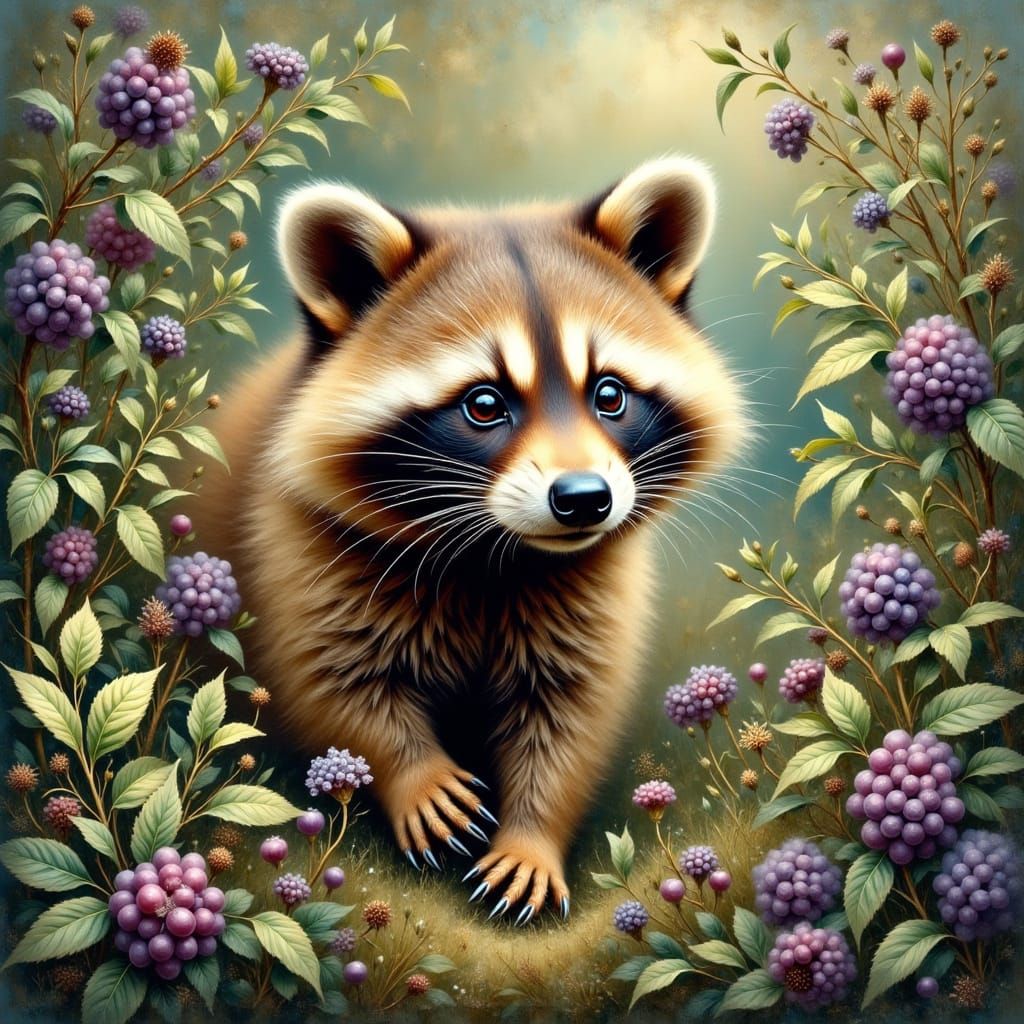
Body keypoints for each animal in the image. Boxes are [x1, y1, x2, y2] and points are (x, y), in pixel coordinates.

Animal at [194, 157, 748, 924]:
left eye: (609, 394)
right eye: (484, 404)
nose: (585, 499)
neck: (499, 553)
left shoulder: (592, 590)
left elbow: (571, 720)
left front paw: (533, 837)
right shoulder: (295, 545)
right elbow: (325, 685)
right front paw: (411, 775)